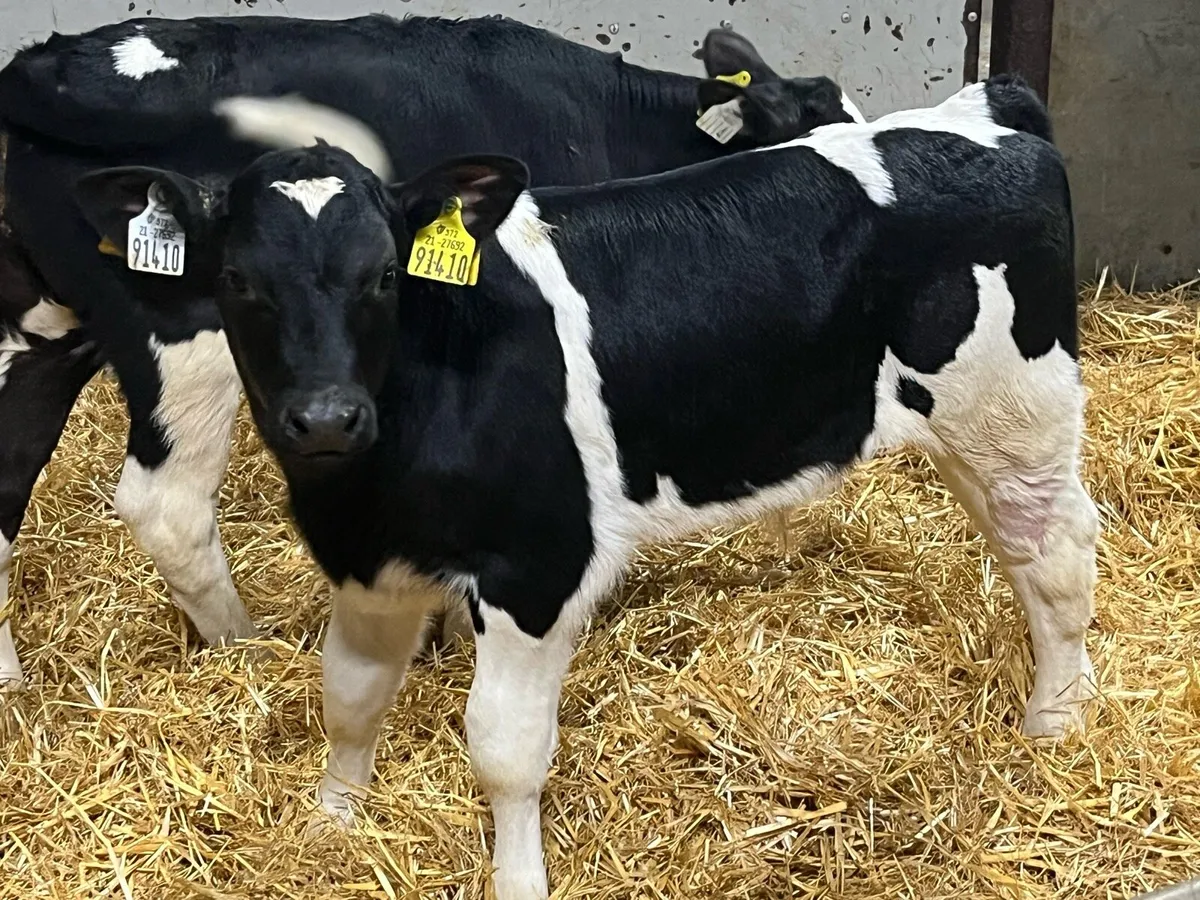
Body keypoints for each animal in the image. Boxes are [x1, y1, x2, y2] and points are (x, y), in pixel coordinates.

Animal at [70, 73, 1098, 898]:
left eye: (382, 276)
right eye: (239, 280)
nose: (326, 418)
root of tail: (986, 109)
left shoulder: (538, 569)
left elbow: (504, 751)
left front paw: (516, 880)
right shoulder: (373, 564)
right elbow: (351, 697)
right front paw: (332, 825)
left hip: (1017, 413)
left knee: (1059, 559)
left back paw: (1055, 725)